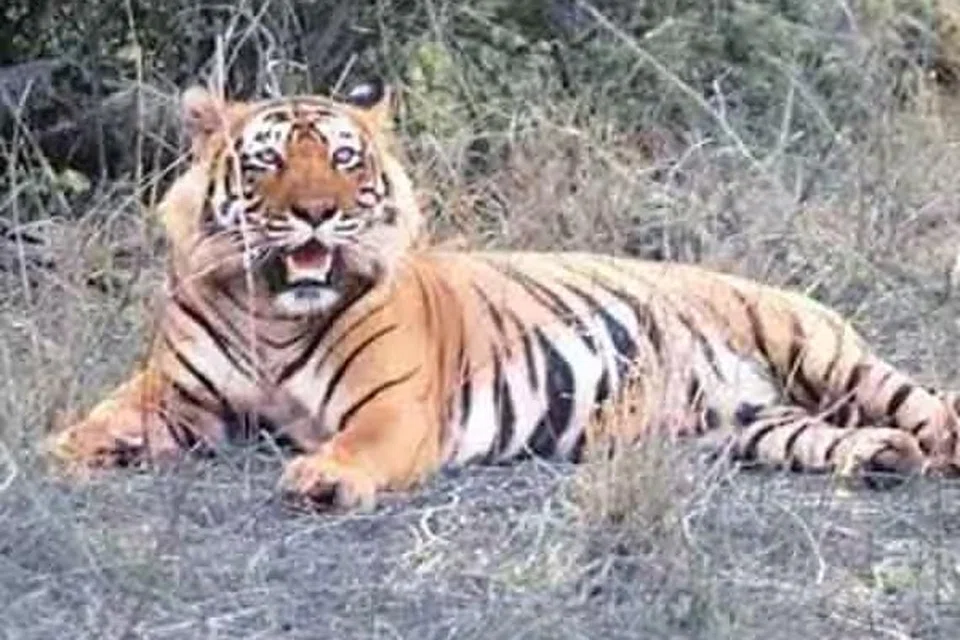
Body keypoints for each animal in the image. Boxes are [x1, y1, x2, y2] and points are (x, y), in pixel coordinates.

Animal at [46, 81, 960, 511]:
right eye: (270, 161)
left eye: (342, 159)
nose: (315, 212)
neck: (273, 309)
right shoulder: (179, 394)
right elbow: (107, 414)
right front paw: (63, 448)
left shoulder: (394, 408)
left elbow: (355, 444)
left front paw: (321, 478)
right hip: (759, 428)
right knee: (834, 438)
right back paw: (884, 460)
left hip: (826, 354)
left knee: (927, 403)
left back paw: (932, 445)